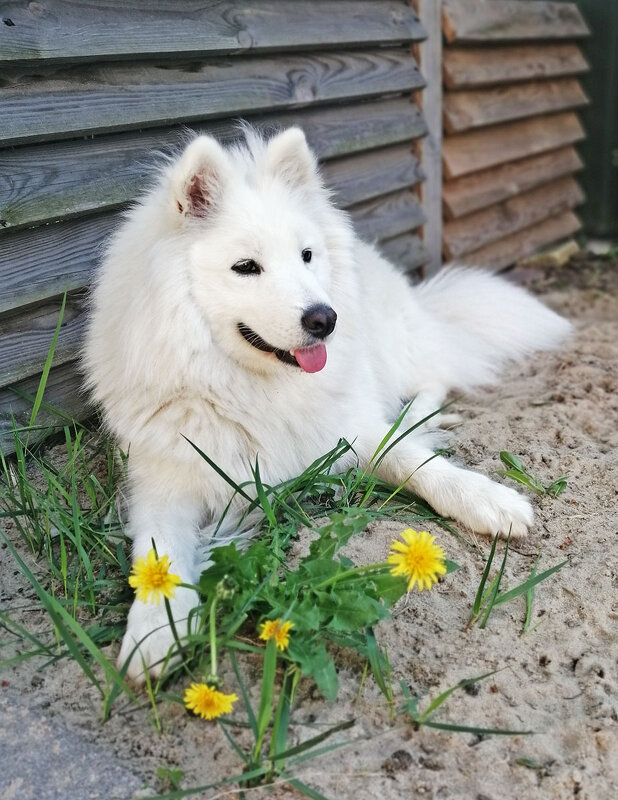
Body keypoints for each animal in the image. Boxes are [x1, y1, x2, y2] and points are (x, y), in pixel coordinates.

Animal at [84, 128, 572, 680]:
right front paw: (155, 630)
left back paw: (413, 412)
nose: (326, 319)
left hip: (395, 346)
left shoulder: (350, 429)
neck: (251, 387)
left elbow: (419, 462)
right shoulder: (162, 480)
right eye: (245, 267)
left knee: (435, 378)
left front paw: (487, 498)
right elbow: (158, 554)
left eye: (306, 256)